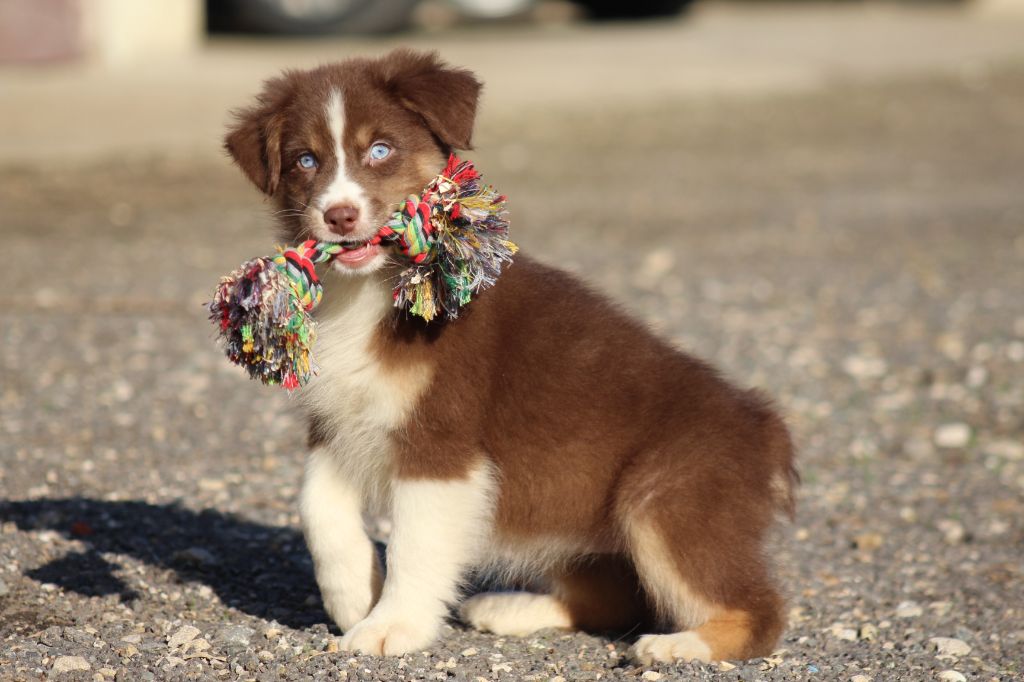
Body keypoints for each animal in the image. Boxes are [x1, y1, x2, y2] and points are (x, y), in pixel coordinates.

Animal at [226, 49, 798, 663]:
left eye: (380, 149)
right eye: (305, 160)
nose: (339, 216)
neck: (371, 292)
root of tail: (765, 429)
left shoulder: (442, 443)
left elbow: (414, 543)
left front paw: (391, 626)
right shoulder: (338, 418)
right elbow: (315, 504)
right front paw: (354, 593)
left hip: (667, 496)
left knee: (758, 610)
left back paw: (678, 646)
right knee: (615, 598)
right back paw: (510, 608)